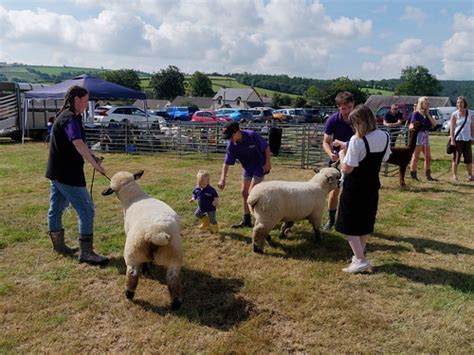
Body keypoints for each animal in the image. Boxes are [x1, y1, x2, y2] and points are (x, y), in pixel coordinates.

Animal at [102, 171, 183, 310]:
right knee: (172, 278)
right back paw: (176, 303)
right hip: (174, 252)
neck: (135, 197)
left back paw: (129, 294)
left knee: (132, 274)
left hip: (133, 251)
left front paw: (146, 270)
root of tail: (158, 233)